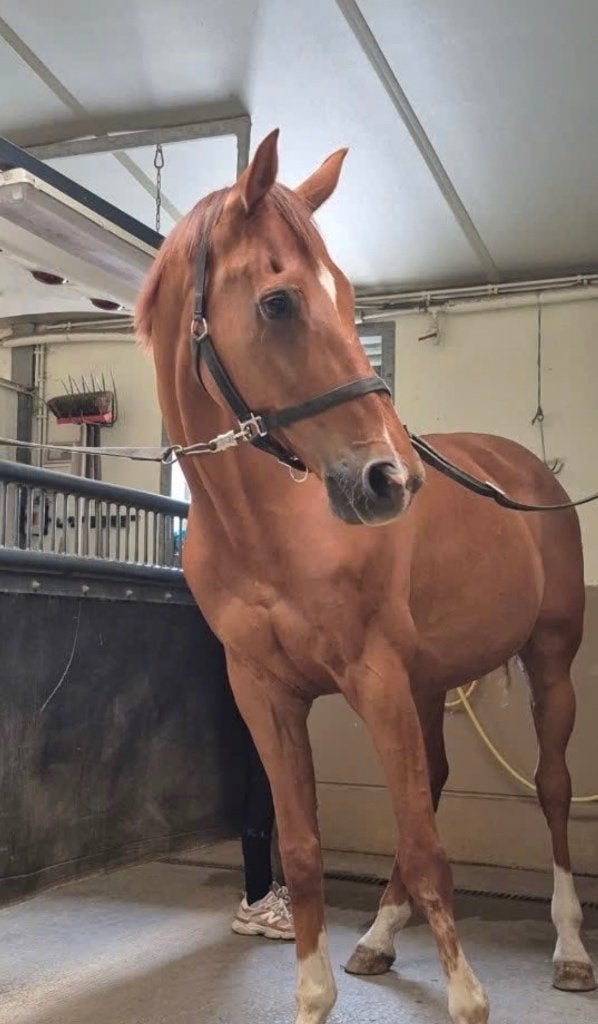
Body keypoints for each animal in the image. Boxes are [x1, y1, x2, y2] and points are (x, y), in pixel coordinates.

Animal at [136, 129, 596, 1024]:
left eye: (349, 298)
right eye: (279, 303)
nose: (392, 480)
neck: (272, 529)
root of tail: (526, 472)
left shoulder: (375, 677)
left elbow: (429, 851)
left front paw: (468, 999)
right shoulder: (267, 694)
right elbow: (305, 848)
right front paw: (315, 994)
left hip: (549, 662)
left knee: (554, 790)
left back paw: (569, 947)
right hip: (429, 682)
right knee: (440, 780)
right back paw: (380, 936)